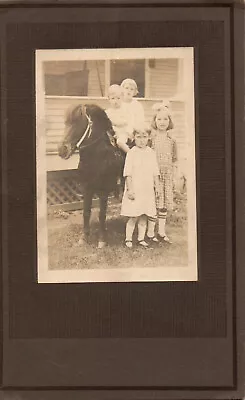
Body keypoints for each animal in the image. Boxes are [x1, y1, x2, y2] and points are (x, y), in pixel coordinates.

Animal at [58, 103, 123, 247]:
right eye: (65, 123)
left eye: (78, 122)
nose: (62, 150)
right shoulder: (87, 189)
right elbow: (86, 213)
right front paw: (84, 238)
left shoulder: (103, 191)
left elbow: (101, 214)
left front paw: (102, 239)